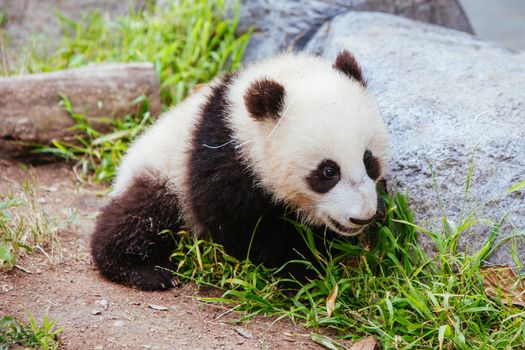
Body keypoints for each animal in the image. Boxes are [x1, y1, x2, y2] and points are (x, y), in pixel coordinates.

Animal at [90, 49, 388, 290]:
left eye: (369, 161)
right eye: (328, 172)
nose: (362, 217)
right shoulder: (223, 154)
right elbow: (237, 222)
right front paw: (299, 269)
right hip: (163, 172)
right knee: (143, 215)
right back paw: (143, 269)